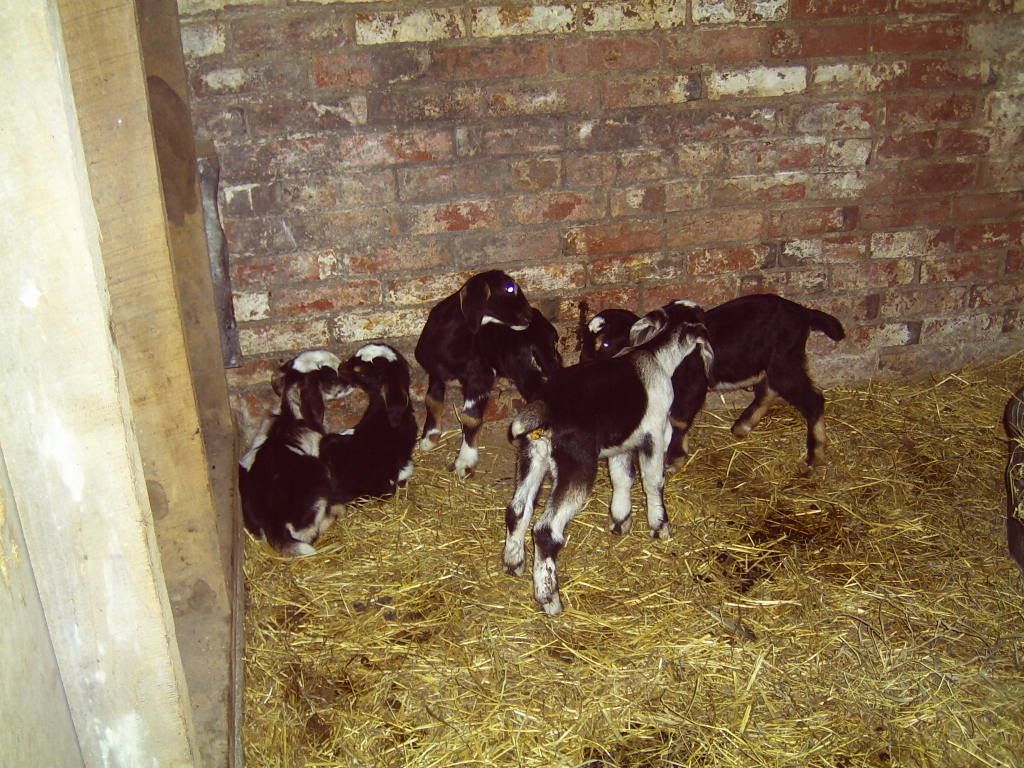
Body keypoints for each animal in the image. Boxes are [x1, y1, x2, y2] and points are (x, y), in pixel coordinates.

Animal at [414, 270, 562, 479]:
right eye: (510, 288)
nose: (528, 316)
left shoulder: (480, 376)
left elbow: (471, 418)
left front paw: (464, 462)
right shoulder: (435, 372)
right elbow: (432, 401)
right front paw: (429, 438)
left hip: (528, 363)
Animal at [503, 302, 713, 615]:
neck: (656, 357)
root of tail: (545, 408)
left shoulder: (622, 442)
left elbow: (622, 477)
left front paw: (621, 520)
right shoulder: (655, 433)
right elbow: (653, 481)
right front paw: (659, 526)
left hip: (532, 456)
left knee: (517, 510)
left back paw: (513, 563)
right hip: (577, 465)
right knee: (546, 531)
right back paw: (549, 598)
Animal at [580, 294, 845, 467]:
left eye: (605, 343)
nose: (585, 368)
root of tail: (804, 313)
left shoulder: (692, 386)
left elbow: (678, 419)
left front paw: (674, 458)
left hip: (785, 362)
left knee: (812, 399)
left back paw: (815, 455)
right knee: (768, 390)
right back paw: (742, 426)